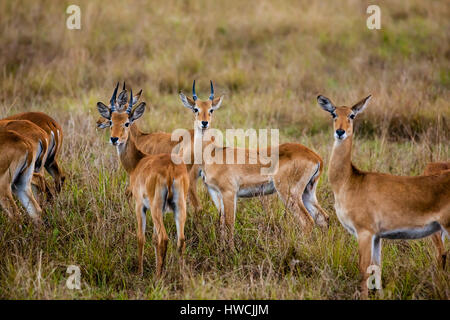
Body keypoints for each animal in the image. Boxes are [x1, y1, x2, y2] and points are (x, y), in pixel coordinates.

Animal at [97, 85, 189, 278]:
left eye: (126, 122)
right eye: (111, 121)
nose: (114, 139)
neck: (138, 162)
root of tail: (171, 169)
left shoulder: (139, 205)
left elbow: (141, 238)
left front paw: (139, 271)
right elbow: (153, 239)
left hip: (156, 208)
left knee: (164, 238)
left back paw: (158, 276)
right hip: (180, 206)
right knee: (180, 239)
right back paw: (182, 274)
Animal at [179, 80, 330, 248]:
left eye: (211, 109)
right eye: (196, 108)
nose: (204, 123)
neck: (213, 153)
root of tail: (315, 157)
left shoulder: (229, 192)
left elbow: (230, 223)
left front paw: (231, 251)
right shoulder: (216, 193)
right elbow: (222, 221)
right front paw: (222, 249)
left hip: (289, 193)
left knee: (307, 222)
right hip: (307, 193)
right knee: (323, 218)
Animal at [316, 94, 450, 298]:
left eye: (352, 115)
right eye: (333, 114)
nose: (340, 132)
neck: (349, 181)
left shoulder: (364, 232)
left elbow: (364, 269)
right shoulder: (377, 237)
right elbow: (377, 268)